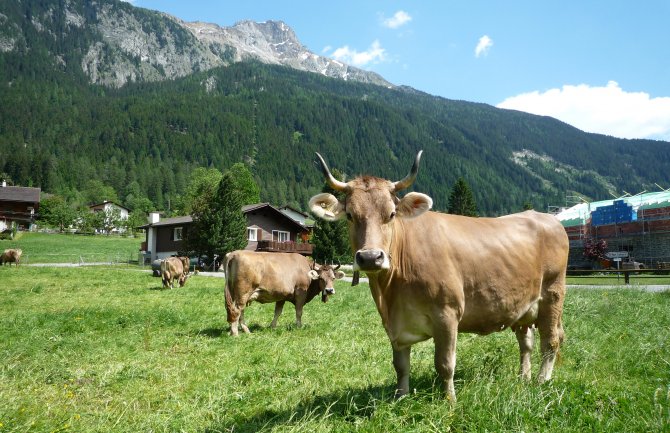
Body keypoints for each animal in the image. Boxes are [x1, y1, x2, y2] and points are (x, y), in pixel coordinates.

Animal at [308, 152, 568, 402]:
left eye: (391, 214)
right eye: (350, 215)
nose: (371, 257)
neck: (392, 293)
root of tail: (547, 218)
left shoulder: (447, 313)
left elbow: (445, 364)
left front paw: (449, 401)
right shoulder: (394, 324)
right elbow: (400, 366)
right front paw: (400, 398)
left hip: (553, 294)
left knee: (551, 341)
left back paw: (541, 381)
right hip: (523, 305)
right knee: (527, 342)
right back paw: (523, 377)